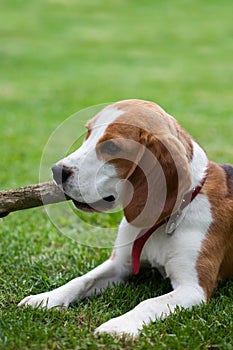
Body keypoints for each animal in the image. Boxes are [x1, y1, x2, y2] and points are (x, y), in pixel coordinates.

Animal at [19, 98, 233, 336]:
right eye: (88, 133)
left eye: (111, 147)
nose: (57, 171)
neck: (165, 220)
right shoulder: (119, 264)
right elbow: (82, 280)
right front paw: (46, 298)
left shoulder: (194, 288)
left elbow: (148, 303)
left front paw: (117, 326)